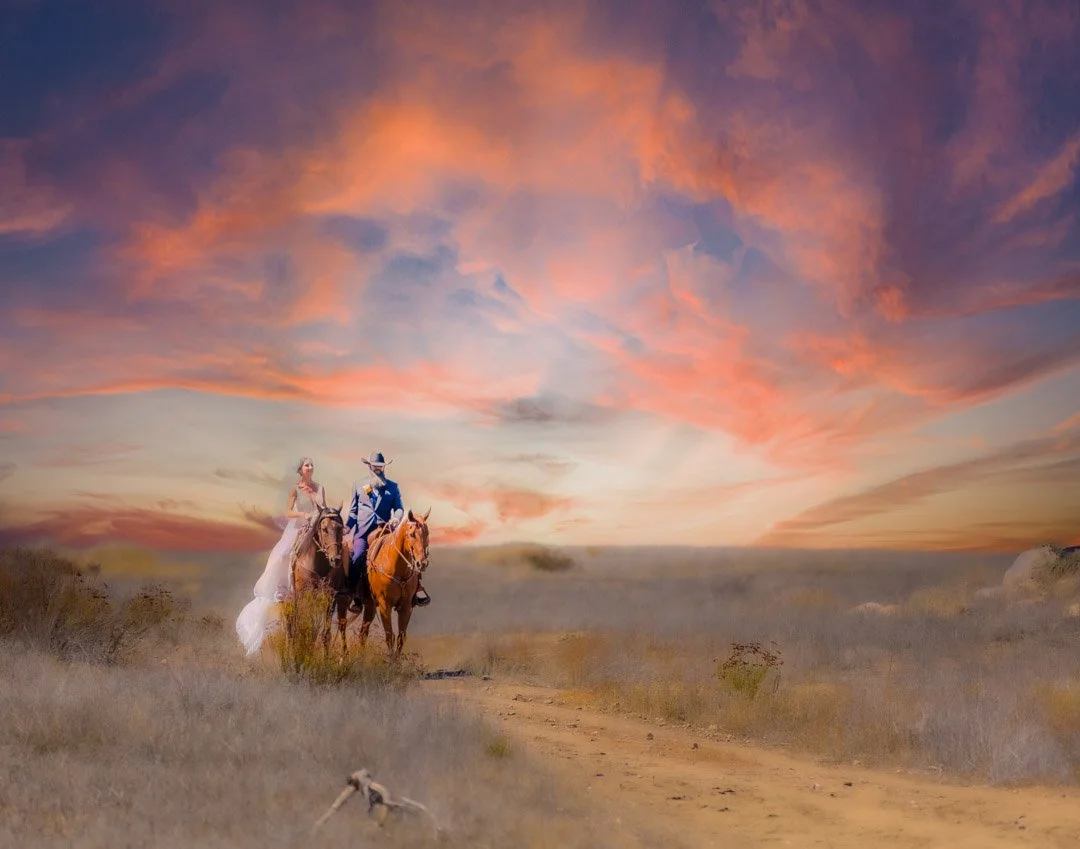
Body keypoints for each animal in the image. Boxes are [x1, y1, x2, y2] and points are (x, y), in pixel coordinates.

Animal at [288, 505, 349, 653]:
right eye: (324, 529)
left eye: (340, 528)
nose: (336, 559)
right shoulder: (305, 595)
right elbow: (305, 627)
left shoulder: (331, 597)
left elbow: (326, 634)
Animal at [356, 508, 430, 658]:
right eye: (412, 534)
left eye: (428, 533)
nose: (422, 563)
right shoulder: (385, 605)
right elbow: (389, 635)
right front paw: (390, 660)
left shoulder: (406, 605)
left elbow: (401, 637)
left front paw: (396, 660)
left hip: (370, 606)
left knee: (363, 632)